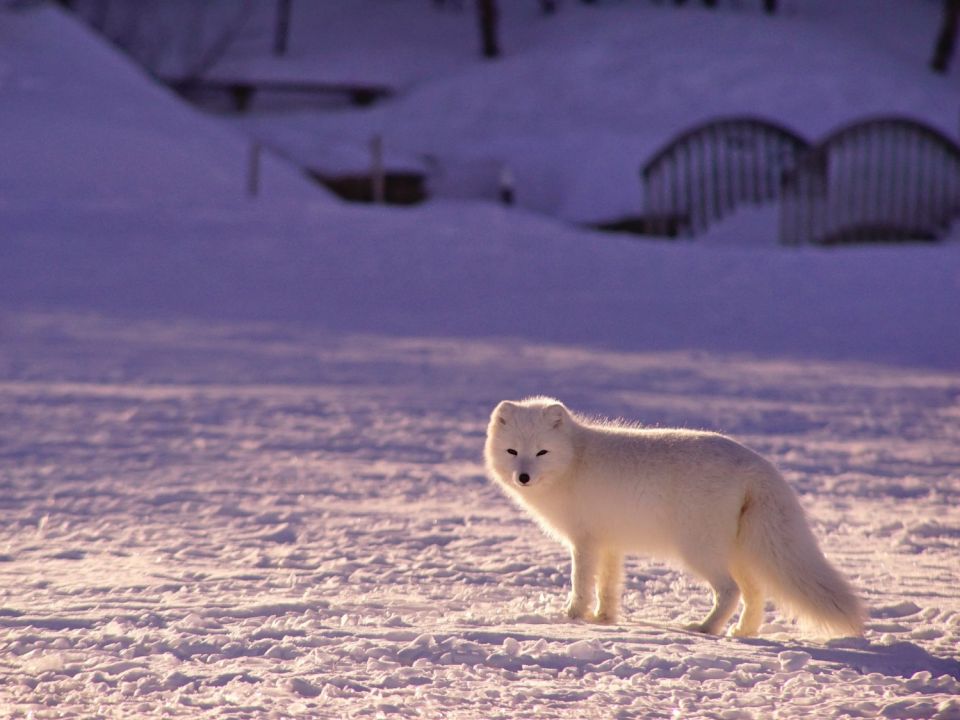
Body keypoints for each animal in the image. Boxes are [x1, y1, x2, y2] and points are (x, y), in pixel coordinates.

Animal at [484, 396, 868, 640]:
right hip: (739, 552)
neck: (574, 461)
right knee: (755, 593)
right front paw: (604, 619)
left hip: (698, 550)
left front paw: (572, 618)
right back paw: (743, 631)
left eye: (542, 452)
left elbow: (581, 584)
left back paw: (705, 629)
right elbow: (608, 586)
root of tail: (758, 465)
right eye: (512, 451)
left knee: (730, 591)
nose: (523, 477)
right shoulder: (610, 543)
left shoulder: (585, 541)